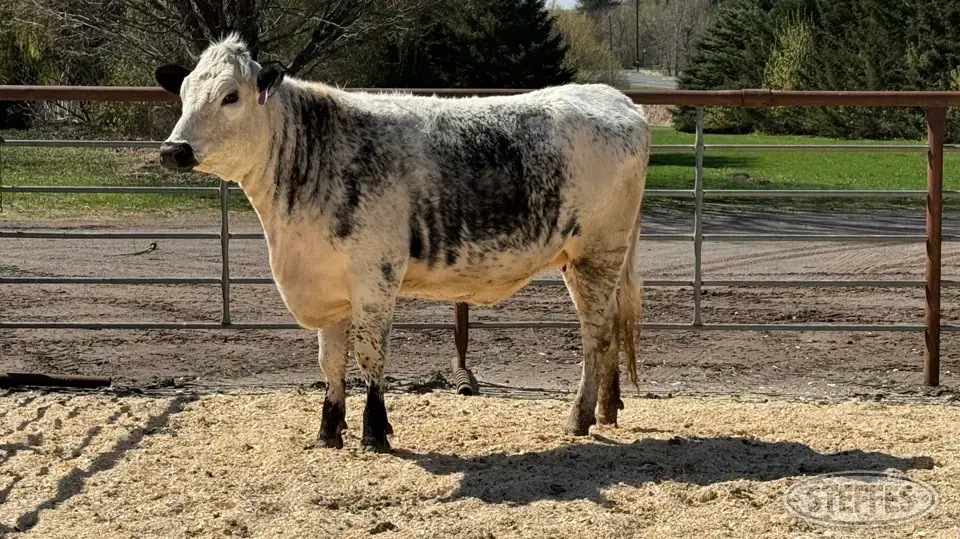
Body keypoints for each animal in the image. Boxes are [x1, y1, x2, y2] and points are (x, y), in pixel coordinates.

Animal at [154, 34, 650, 452]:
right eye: (183, 92)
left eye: (230, 96)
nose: (172, 150)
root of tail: (615, 98)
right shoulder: (328, 282)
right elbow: (330, 362)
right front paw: (328, 432)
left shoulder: (374, 275)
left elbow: (370, 356)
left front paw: (375, 433)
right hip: (588, 258)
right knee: (609, 324)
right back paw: (608, 409)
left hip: (597, 253)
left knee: (596, 332)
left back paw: (579, 417)